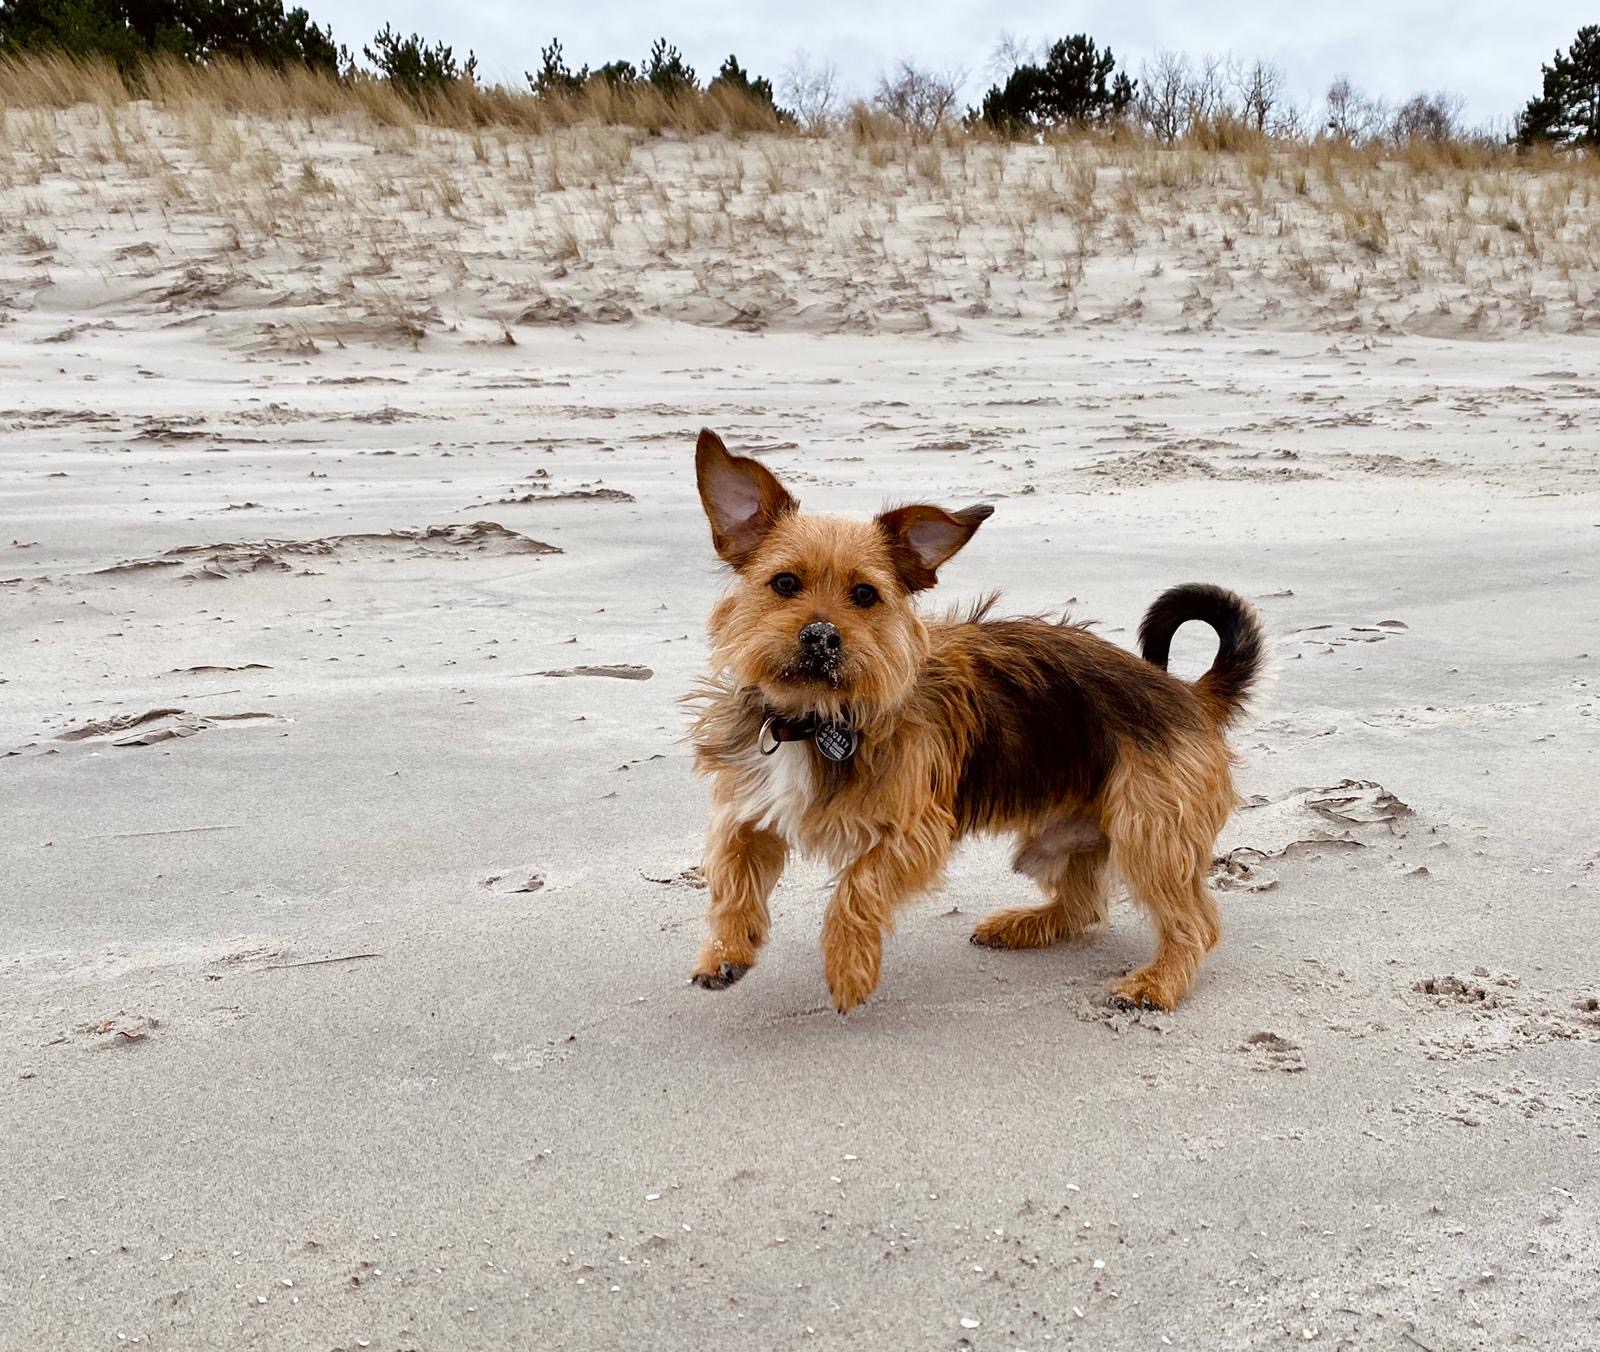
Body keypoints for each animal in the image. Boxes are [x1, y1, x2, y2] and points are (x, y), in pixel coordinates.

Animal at [685, 428, 1265, 1014]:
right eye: (784, 583)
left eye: (865, 594)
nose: (821, 636)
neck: (815, 719)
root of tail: (1186, 693)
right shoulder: (750, 805)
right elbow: (731, 869)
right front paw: (726, 949)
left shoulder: (915, 831)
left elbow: (858, 886)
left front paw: (848, 968)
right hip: (1061, 834)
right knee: (1084, 906)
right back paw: (1026, 925)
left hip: (1149, 830)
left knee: (1195, 920)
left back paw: (1157, 981)